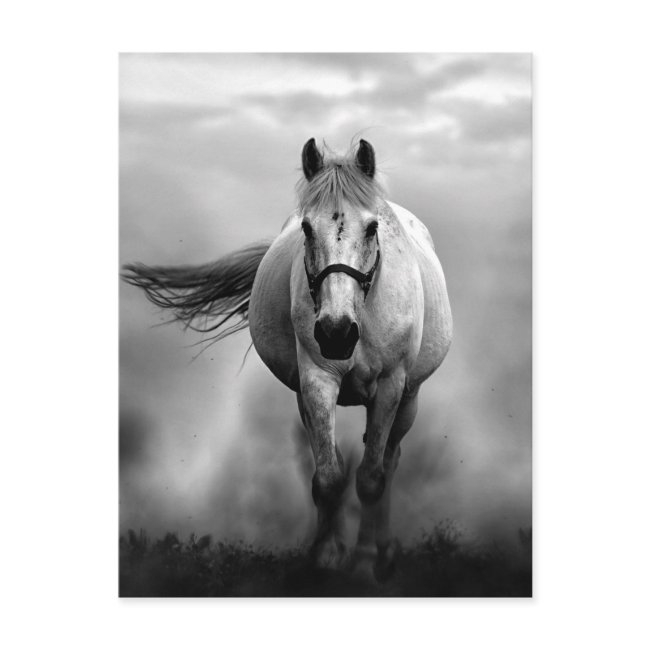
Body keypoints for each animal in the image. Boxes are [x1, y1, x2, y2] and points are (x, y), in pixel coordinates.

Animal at [123, 138, 453, 579]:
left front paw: (365, 564)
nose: (336, 332)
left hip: (409, 399)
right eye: (307, 228)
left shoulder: (390, 386)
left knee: (390, 461)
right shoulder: (316, 381)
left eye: (372, 227)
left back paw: (383, 552)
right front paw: (326, 558)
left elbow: (371, 478)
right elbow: (328, 477)